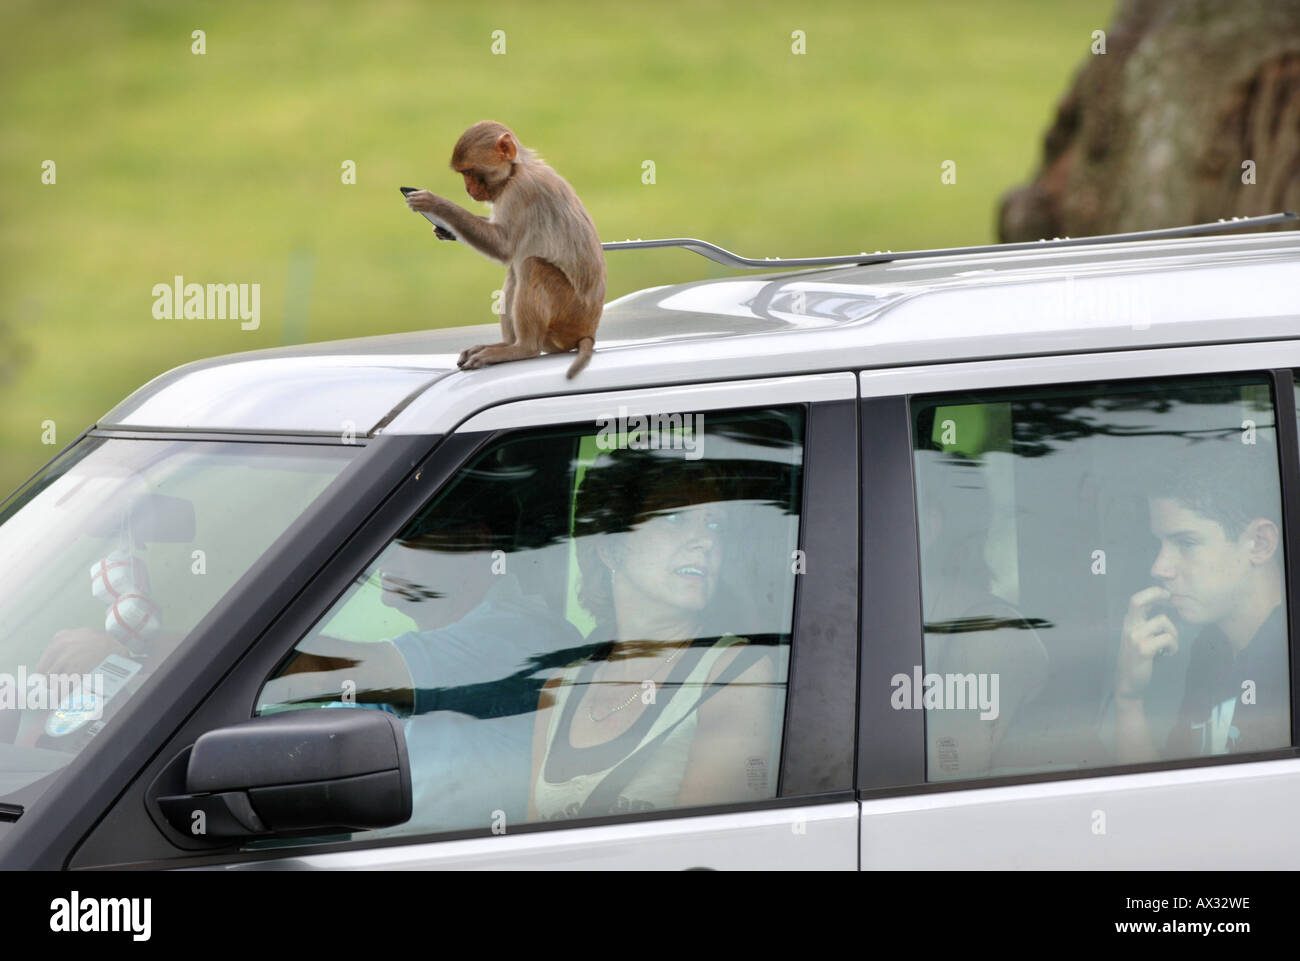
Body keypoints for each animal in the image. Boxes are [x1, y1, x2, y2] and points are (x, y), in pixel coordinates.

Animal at [403, 126, 605, 382]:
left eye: (469, 171)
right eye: (463, 174)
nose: (468, 189)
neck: (516, 171)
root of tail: (588, 332)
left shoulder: (521, 191)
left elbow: (503, 247)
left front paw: (435, 204)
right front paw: (443, 229)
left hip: (569, 317)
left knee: (531, 266)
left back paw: (523, 348)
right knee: (515, 272)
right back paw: (504, 345)